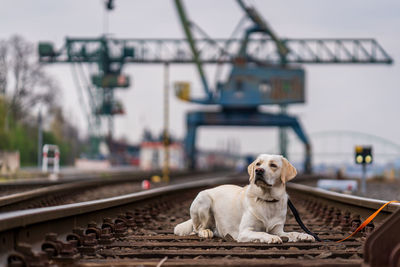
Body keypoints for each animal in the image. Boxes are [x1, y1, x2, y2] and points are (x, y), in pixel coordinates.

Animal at [175, 155, 316, 245]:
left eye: (273, 165)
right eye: (258, 163)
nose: (258, 170)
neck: (267, 199)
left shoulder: (278, 230)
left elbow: (291, 233)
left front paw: (304, 235)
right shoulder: (244, 231)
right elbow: (262, 233)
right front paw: (272, 238)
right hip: (203, 200)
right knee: (197, 228)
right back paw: (205, 232)